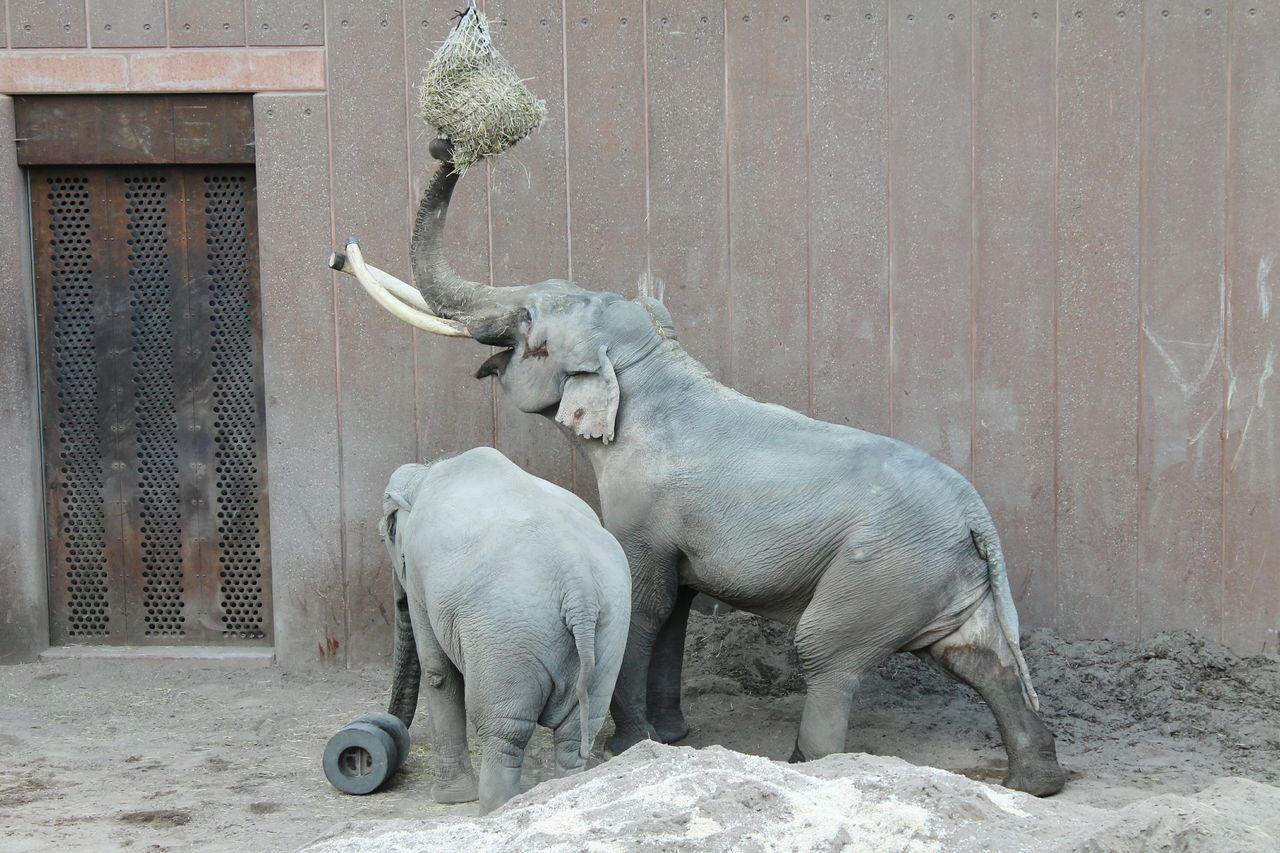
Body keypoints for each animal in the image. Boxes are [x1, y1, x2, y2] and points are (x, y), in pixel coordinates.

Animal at [376, 445, 632, 809]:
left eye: (385, 536)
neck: (426, 472)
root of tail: (577, 579)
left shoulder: (420, 577)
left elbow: (438, 672)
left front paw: (450, 800)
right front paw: (530, 783)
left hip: (506, 631)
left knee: (504, 730)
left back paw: (497, 806)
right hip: (602, 629)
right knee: (573, 730)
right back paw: (554, 791)